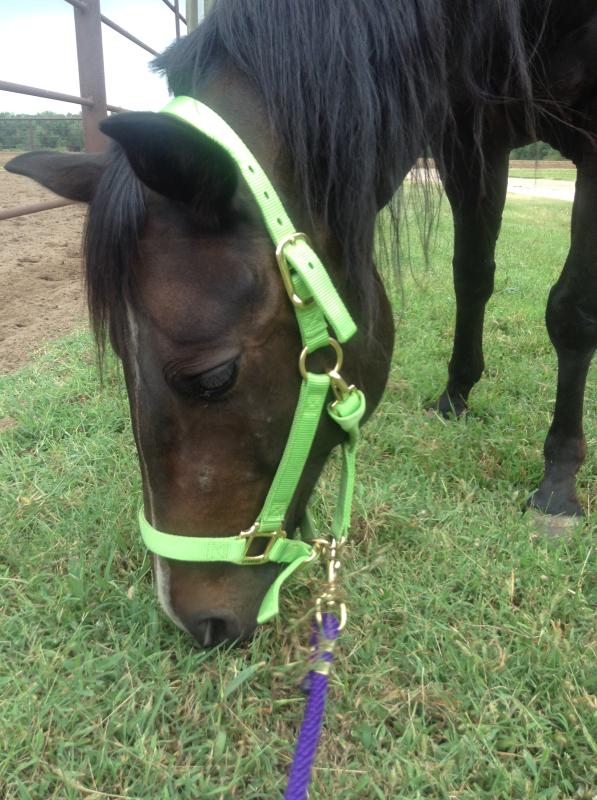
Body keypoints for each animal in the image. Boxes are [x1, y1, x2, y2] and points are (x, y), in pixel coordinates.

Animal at [7, 0, 596, 646]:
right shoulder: (471, 140)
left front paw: (558, 482)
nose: (194, 621)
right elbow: (471, 274)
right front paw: (457, 392)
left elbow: (571, 311)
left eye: (214, 377)